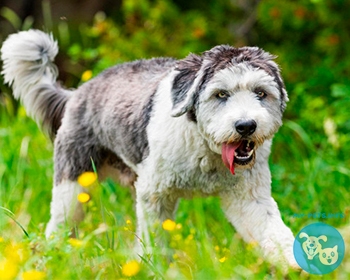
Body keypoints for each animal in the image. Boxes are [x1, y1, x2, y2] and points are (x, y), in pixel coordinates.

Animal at [1, 29, 300, 268]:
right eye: (221, 94)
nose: (246, 126)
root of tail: (77, 94)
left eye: (261, 93)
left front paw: (296, 266)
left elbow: (273, 232)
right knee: (59, 226)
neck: (204, 149)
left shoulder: (249, 198)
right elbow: (155, 239)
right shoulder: (154, 195)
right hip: (73, 184)